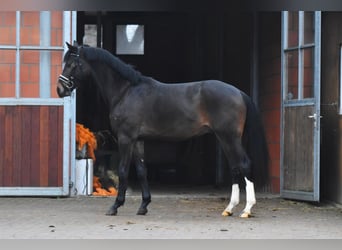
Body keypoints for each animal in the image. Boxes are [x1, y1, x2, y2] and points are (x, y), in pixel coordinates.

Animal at [57, 43, 268, 219]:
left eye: (72, 64)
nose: (60, 90)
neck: (126, 91)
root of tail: (238, 92)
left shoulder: (125, 138)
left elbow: (124, 170)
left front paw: (115, 206)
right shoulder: (137, 140)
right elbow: (141, 170)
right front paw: (143, 206)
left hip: (229, 137)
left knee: (244, 164)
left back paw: (247, 209)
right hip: (224, 138)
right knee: (235, 167)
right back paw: (229, 209)